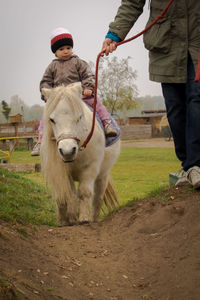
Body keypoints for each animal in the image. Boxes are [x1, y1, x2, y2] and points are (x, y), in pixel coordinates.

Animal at [40, 82, 120, 225]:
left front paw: (83, 218)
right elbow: (67, 193)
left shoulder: (90, 169)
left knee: (97, 198)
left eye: (79, 117)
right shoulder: (63, 172)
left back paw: (93, 218)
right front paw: (66, 220)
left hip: (102, 176)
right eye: (52, 119)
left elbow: (84, 192)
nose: (67, 150)